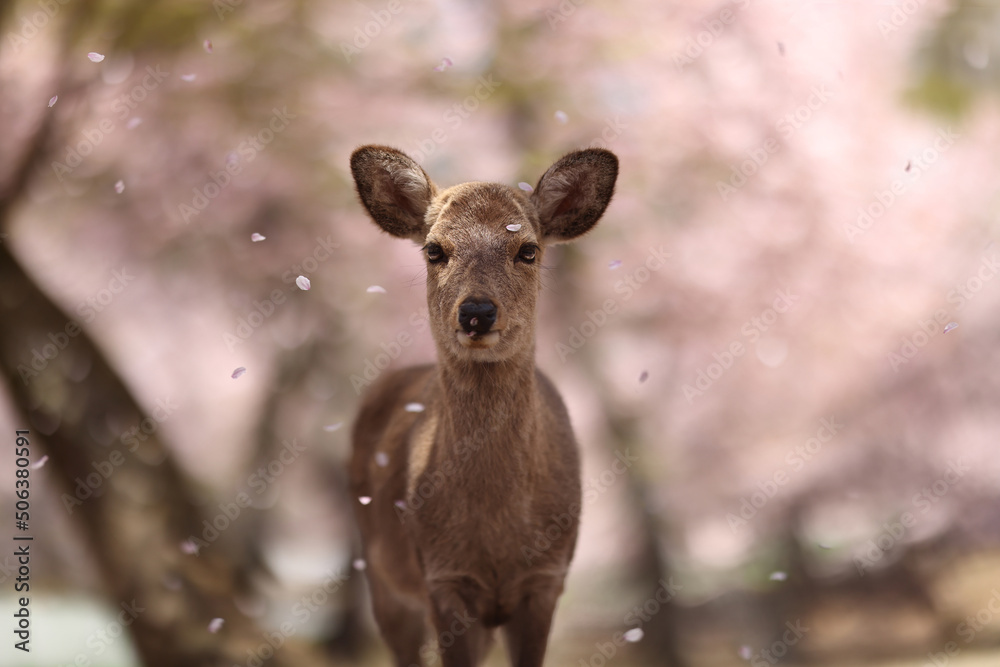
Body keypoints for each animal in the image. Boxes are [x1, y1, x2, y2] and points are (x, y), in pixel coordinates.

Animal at [350, 146, 616, 667]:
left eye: (528, 249)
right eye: (434, 250)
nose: (477, 312)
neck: (497, 535)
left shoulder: (547, 579)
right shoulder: (442, 578)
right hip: (379, 574)